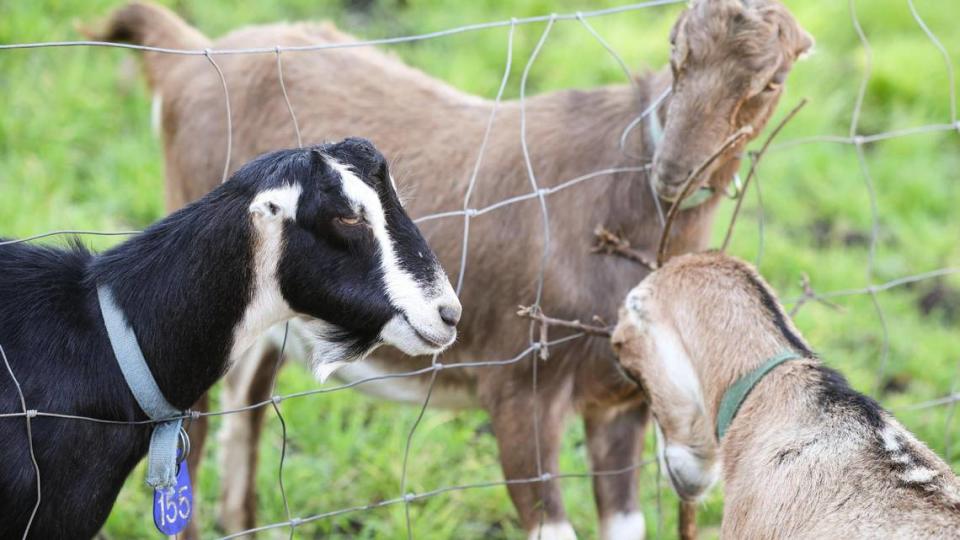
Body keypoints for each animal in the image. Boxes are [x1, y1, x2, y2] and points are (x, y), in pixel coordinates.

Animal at [95, 2, 808, 536]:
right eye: (675, 53)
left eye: (772, 82)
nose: (675, 173)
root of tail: (191, 55)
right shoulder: (519, 384)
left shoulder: (622, 401)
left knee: (245, 412)